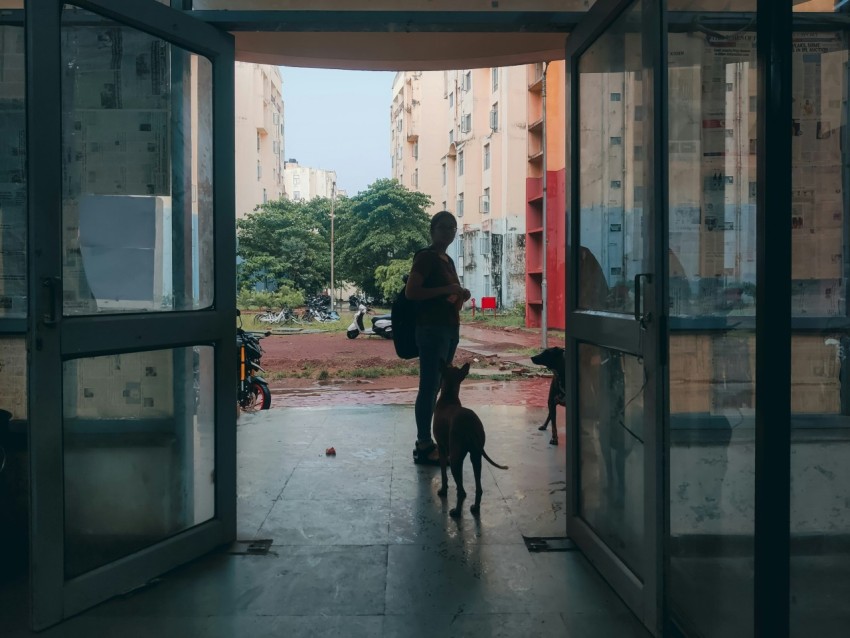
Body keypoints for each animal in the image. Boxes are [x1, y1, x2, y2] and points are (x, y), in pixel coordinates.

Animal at [434, 362, 506, 516]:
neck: (448, 397)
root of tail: (470, 425)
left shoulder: (442, 449)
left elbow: (443, 474)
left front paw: (443, 491)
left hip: (455, 459)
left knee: (462, 492)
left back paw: (456, 512)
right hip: (476, 456)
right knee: (478, 488)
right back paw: (475, 507)